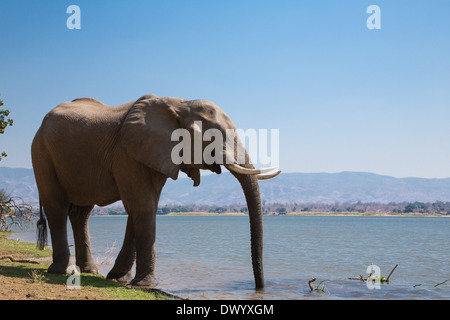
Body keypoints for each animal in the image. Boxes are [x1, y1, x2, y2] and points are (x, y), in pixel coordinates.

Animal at [31, 94, 280, 288]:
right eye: (213, 138)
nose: (259, 288)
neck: (180, 104)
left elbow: (142, 207)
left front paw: (119, 279)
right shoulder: (127, 154)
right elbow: (143, 206)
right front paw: (145, 285)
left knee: (81, 213)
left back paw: (90, 271)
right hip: (41, 152)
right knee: (56, 207)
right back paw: (62, 271)